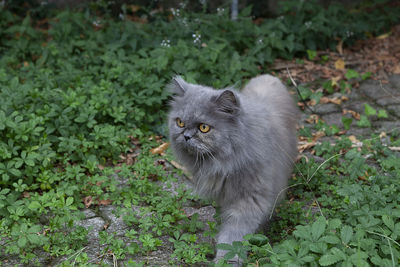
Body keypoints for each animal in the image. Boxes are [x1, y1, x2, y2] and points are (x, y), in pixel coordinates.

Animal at [167, 75, 298, 264]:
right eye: (180, 122)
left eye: (204, 128)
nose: (186, 136)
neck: (224, 164)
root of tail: (269, 77)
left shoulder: (249, 199)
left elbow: (232, 237)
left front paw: (226, 260)